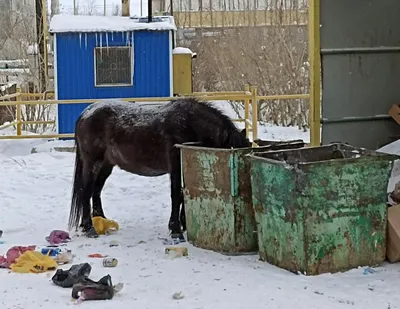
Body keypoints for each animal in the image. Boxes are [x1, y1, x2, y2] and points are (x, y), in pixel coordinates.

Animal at [69, 97, 250, 238]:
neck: (190, 124)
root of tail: (86, 113)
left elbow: (183, 193)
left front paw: (183, 224)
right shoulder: (176, 166)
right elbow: (176, 194)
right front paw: (176, 229)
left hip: (107, 165)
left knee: (96, 190)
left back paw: (102, 221)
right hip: (93, 162)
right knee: (86, 191)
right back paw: (89, 227)